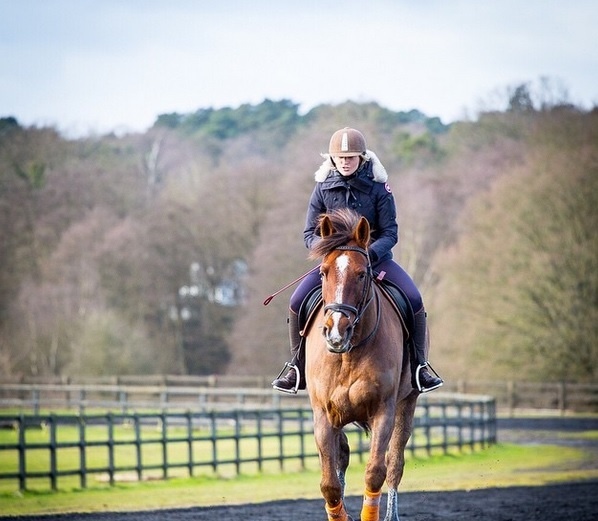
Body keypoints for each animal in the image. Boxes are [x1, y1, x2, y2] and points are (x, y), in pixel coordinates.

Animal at [304, 208, 422, 520]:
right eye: (323, 272)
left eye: (361, 274)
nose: (336, 331)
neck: (348, 352)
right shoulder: (323, 415)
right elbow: (329, 483)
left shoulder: (383, 411)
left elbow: (375, 472)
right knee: (343, 457)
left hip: (407, 404)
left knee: (395, 463)